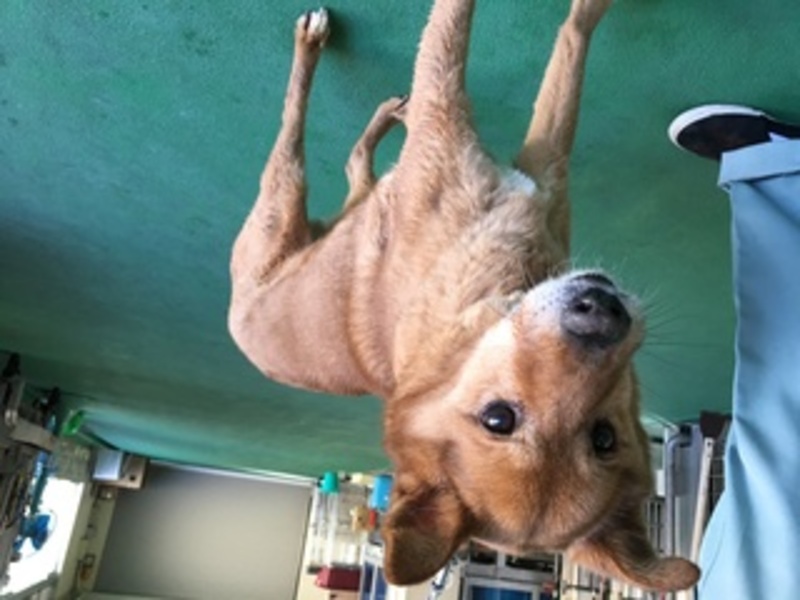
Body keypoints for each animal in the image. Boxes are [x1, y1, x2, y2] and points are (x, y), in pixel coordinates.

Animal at [228, 0, 700, 591]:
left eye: (603, 437)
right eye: (499, 419)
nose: (604, 313)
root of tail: (237, 323)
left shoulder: (510, 155)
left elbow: (518, 42)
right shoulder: (513, 153)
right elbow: (506, 42)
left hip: (296, 210)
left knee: (332, 158)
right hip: (282, 206)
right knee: (307, 143)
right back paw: (331, 68)